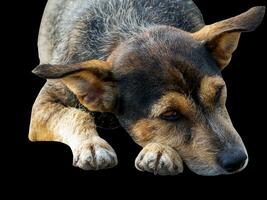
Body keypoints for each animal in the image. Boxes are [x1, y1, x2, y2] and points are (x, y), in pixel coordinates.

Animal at [29, 0, 266, 175]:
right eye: (170, 114)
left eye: (218, 93)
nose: (237, 160)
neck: (130, 26)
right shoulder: (43, 105)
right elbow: (77, 115)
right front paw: (92, 144)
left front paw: (159, 150)